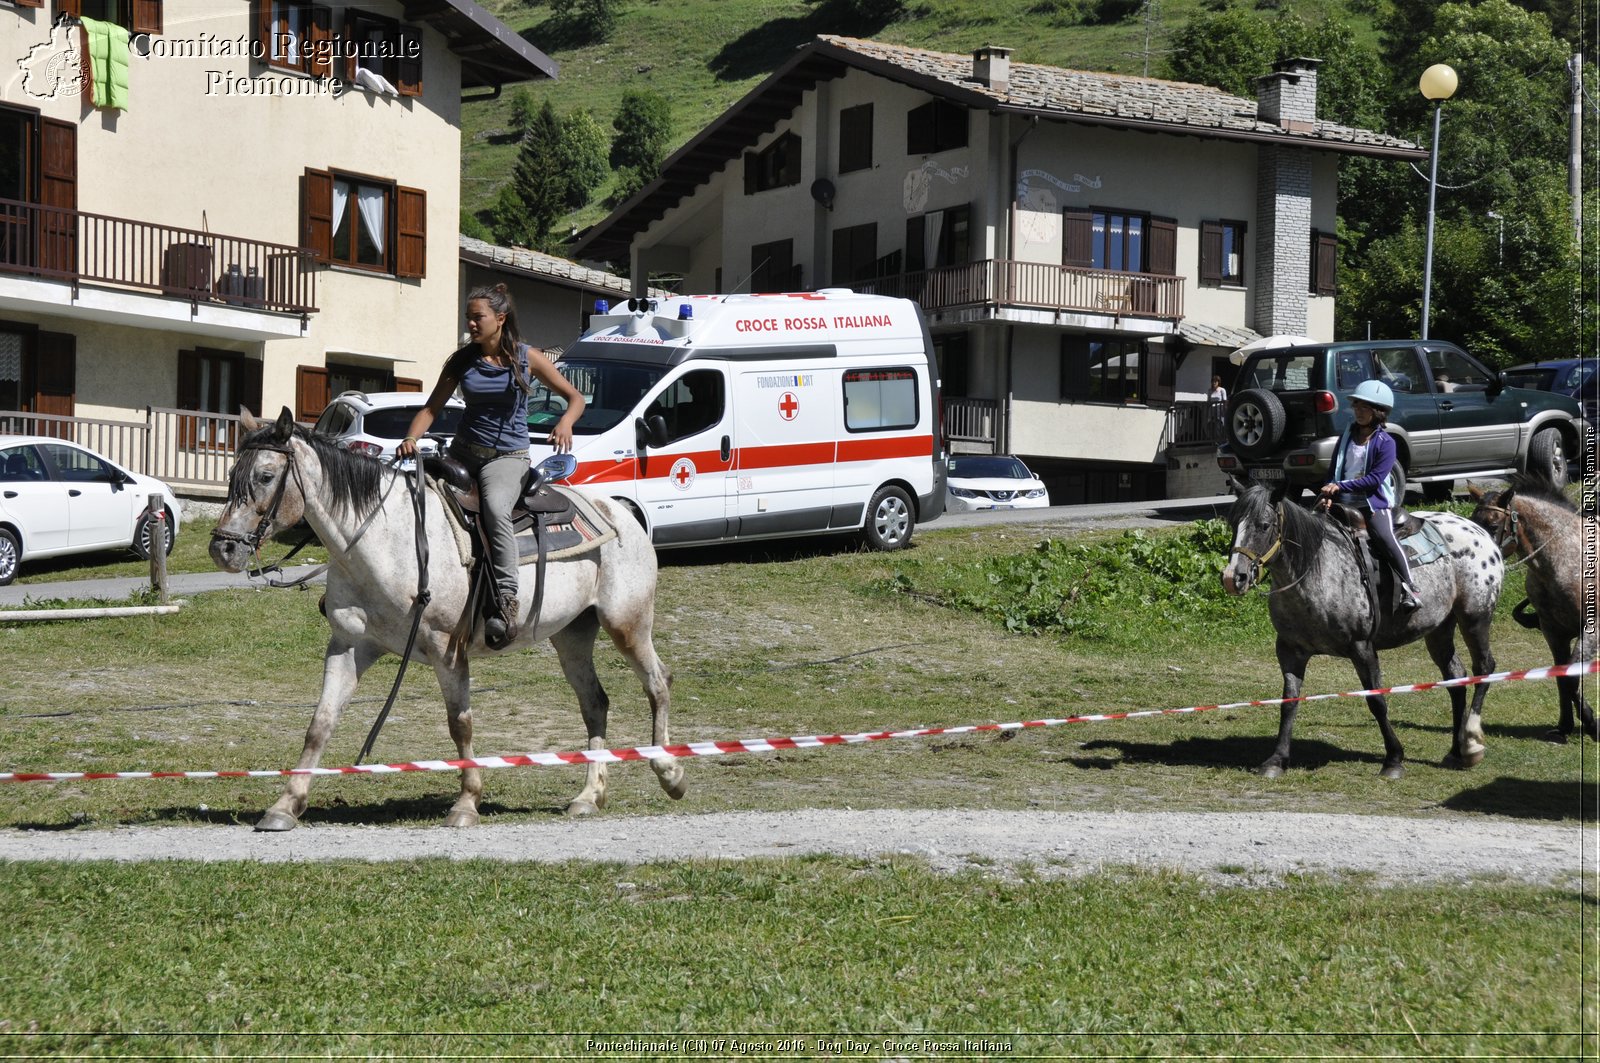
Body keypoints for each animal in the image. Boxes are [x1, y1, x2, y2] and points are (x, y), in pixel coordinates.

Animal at [206, 408, 681, 832]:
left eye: (266, 477)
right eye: (231, 475)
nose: (223, 549)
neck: (385, 540)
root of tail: (621, 513)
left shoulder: (445, 648)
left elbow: (460, 724)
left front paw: (467, 803)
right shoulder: (350, 645)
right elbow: (319, 725)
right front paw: (285, 806)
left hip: (627, 624)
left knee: (657, 682)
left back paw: (669, 772)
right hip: (572, 635)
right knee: (595, 704)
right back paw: (588, 796)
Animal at [1222, 483, 1497, 781]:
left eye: (1264, 525)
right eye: (1233, 524)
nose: (1233, 578)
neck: (1317, 571)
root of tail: (1480, 531)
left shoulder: (1362, 647)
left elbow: (1377, 701)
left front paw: (1393, 760)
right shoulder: (1290, 651)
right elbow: (1289, 702)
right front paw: (1276, 760)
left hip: (1474, 618)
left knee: (1484, 667)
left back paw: (1471, 743)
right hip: (1439, 628)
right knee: (1455, 677)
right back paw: (1456, 752)